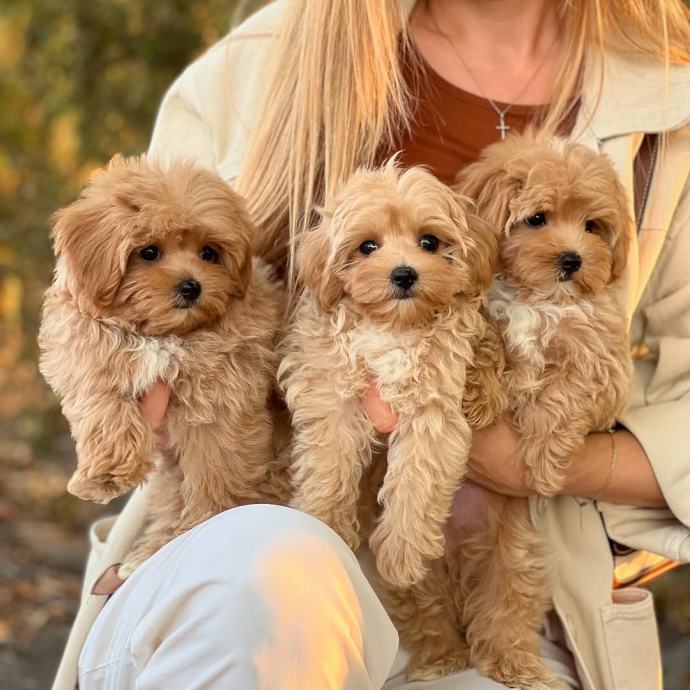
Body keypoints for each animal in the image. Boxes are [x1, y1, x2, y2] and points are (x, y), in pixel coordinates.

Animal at [38, 156, 284, 575]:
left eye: (209, 253)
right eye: (149, 252)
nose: (191, 287)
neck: (161, 334)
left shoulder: (222, 395)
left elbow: (215, 466)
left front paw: (208, 519)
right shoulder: (84, 347)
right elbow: (101, 398)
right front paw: (105, 473)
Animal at [278, 160, 505, 677]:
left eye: (430, 242)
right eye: (367, 246)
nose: (404, 274)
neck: (393, 328)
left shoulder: (433, 409)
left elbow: (417, 480)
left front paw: (402, 553)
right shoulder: (332, 395)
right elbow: (328, 466)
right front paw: (325, 526)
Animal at [447, 133, 634, 689]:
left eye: (593, 227)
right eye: (537, 219)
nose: (573, 260)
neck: (540, 299)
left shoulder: (601, 361)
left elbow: (565, 393)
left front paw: (547, 463)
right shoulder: (480, 312)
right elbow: (486, 343)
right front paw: (481, 398)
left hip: (516, 555)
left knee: (504, 608)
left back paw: (515, 664)